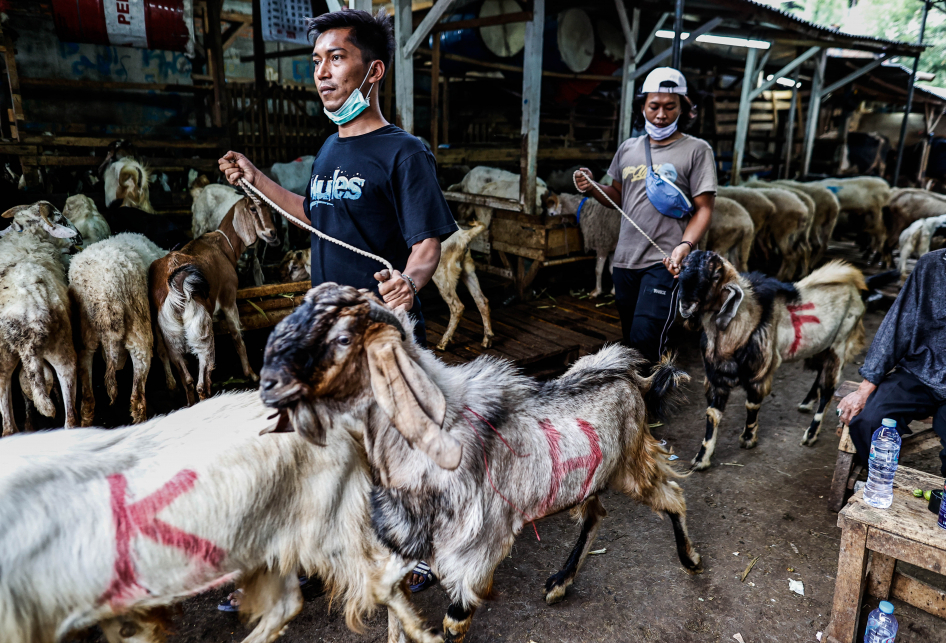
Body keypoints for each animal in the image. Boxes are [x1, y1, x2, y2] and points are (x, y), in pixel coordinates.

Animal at [68, 234, 171, 426]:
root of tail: (104, 293)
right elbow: (163, 348)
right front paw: (171, 382)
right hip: (138, 324)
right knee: (137, 396)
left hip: (86, 334)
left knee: (88, 399)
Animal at [149, 196, 278, 408]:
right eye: (253, 208)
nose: (272, 233)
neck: (223, 246)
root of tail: (176, 287)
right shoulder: (229, 298)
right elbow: (237, 337)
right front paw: (251, 374)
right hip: (201, 331)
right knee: (201, 381)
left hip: (171, 335)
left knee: (187, 379)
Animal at [258, 284, 700, 643]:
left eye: (343, 338)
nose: (268, 385)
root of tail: (629, 376)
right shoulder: (401, 548)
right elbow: (394, 616)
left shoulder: (475, 555)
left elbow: (453, 622)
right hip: (585, 480)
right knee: (596, 516)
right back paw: (560, 583)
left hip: (632, 466)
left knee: (672, 495)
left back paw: (690, 559)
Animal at [680, 249, 876, 470]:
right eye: (682, 267)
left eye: (715, 276)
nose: (686, 305)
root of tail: (854, 283)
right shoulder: (716, 376)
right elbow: (712, 414)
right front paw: (701, 459)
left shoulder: (760, 370)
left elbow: (751, 405)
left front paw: (748, 439)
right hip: (822, 346)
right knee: (820, 375)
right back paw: (806, 403)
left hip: (839, 345)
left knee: (828, 390)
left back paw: (810, 435)